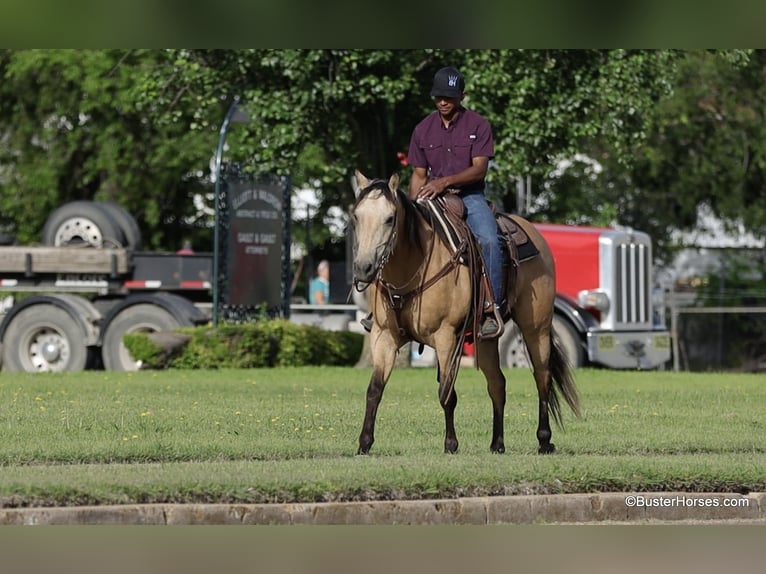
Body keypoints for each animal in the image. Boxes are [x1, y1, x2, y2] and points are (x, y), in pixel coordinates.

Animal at [351, 170, 580, 455]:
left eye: (390, 218)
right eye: (356, 217)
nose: (363, 268)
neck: (413, 267)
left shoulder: (446, 336)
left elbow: (447, 393)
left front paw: (451, 444)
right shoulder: (384, 336)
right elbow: (375, 389)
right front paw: (364, 444)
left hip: (536, 327)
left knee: (542, 377)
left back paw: (544, 440)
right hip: (487, 339)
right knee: (497, 384)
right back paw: (497, 443)